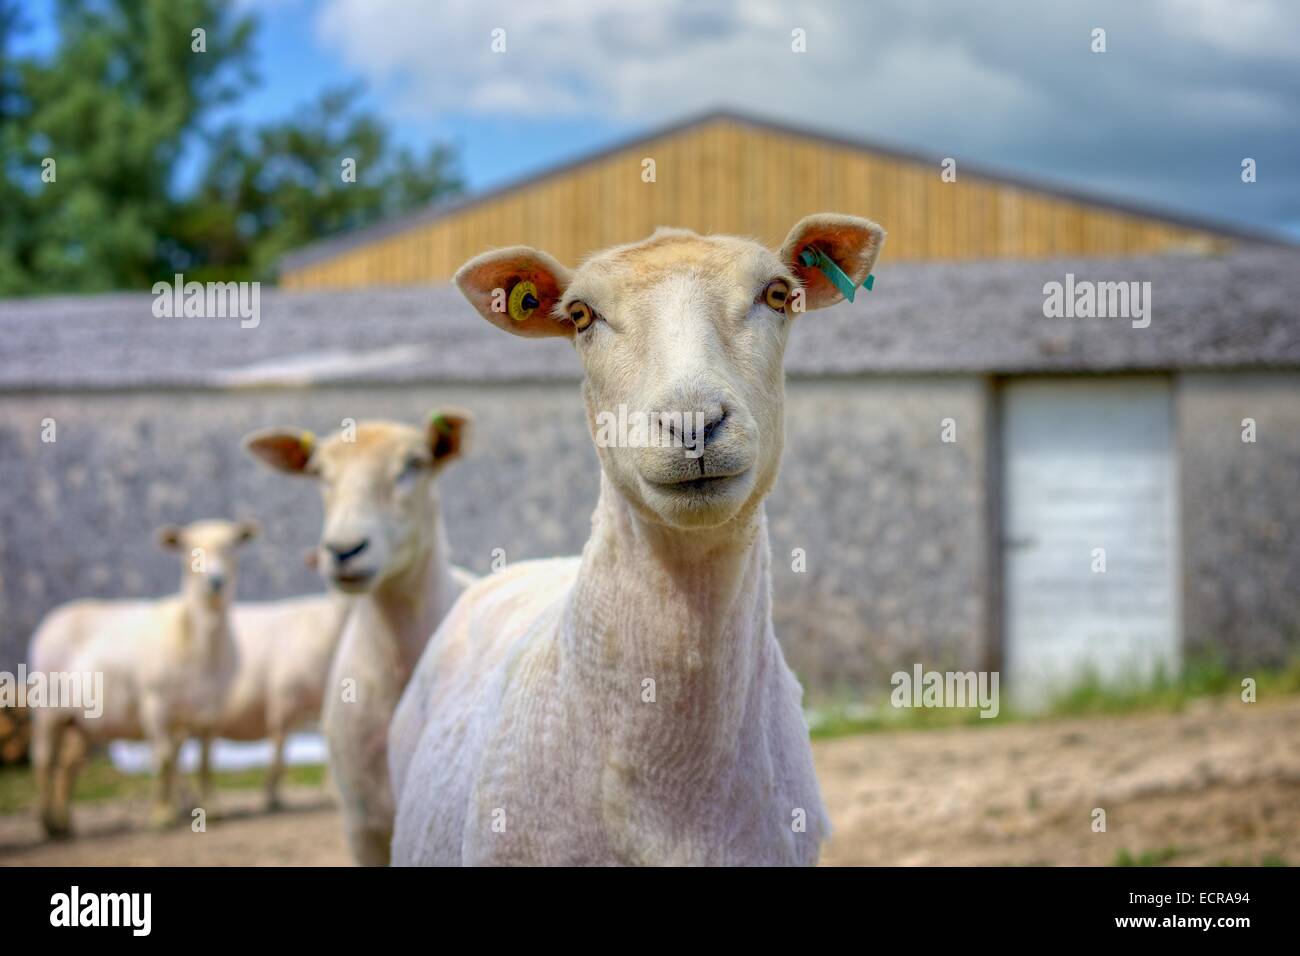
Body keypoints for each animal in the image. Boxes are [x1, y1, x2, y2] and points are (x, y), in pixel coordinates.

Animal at [30, 519, 259, 835]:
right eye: (188, 550)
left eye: (231, 546)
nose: (215, 582)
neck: (196, 638)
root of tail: (55, 617)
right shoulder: (155, 704)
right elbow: (163, 759)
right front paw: (162, 815)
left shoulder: (211, 708)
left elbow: (202, 759)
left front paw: (210, 808)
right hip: (49, 708)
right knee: (44, 759)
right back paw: (48, 823)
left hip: (85, 722)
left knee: (68, 764)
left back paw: (64, 824)